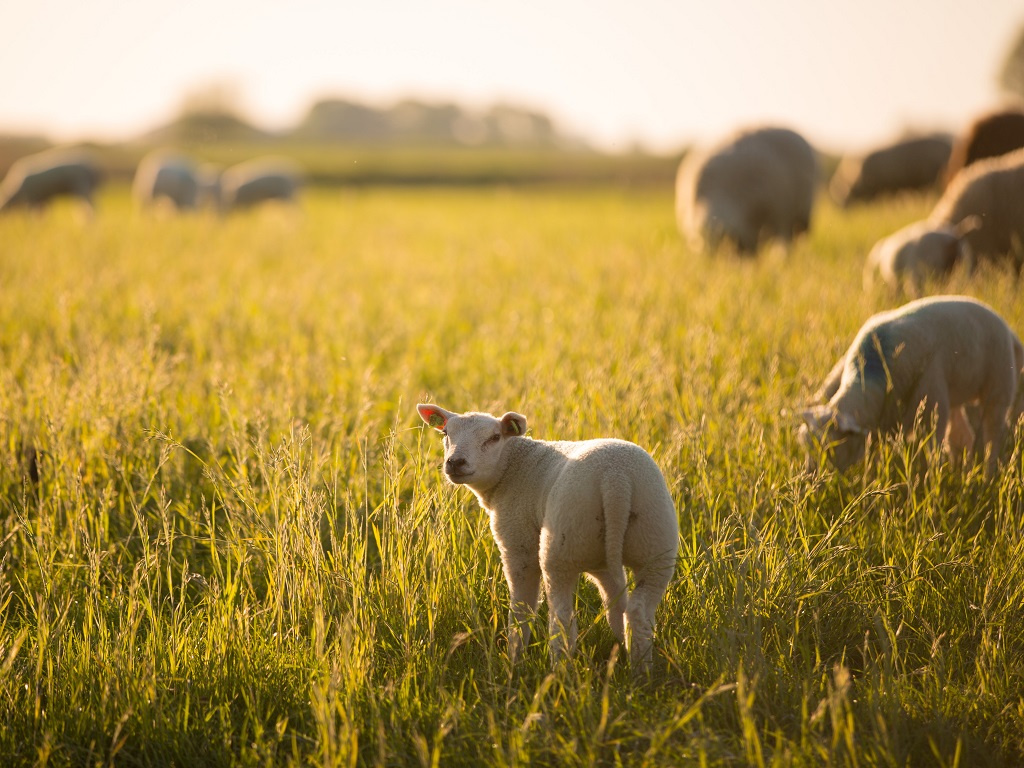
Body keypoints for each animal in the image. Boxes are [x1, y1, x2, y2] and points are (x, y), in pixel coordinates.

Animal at [415, 403, 679, 671]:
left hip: (563, 545)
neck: (513, 467)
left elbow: (522, 609)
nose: (455, 462)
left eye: (494, 437)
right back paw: (641, 671)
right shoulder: (602, 564)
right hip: (654, 541)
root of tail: (616, 479)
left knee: (563, 619)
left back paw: (559, 670)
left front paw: (515, 660)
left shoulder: (517, 545)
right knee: (637, 612)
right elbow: (614, 607)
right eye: (446, 433)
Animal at [798, 294, 1024, 475]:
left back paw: (987, 476)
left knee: (992, 438)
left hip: (998, 389)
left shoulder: (931, 403)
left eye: (831, 447)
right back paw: (962, 469)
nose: (809, 480)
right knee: (962, 437)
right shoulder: (882, 424)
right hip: (956, 393)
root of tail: (1011, 334)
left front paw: (929, 481)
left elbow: (932, 450)